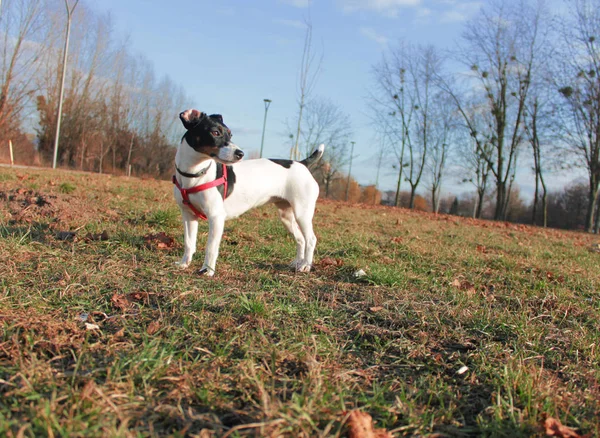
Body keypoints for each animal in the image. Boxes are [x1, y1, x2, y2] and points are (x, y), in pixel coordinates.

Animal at [173, 108, 324, 276]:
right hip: (286, 216)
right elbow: (189, 243)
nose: (240, 154)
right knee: (300, 239)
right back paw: (298, 262)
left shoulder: (216, 217)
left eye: (230, 135)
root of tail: (302, 163)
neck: (195, 174)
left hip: (302, 213)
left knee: (311, 239)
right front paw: (184, 263)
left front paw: (207, 271)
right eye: (215, 132)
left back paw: (306, 265)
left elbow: (211, 247)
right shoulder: (188, 215)